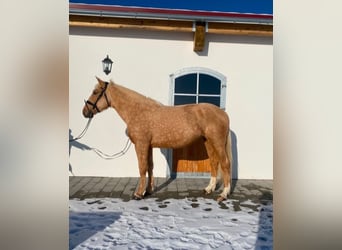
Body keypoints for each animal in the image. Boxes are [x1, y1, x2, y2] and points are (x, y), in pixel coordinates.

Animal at [83, 76, 232, 201]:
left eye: (95, 92)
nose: (85, 112)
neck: (138, 111)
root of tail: (223, 113)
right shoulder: (148, 146)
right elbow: (150, 166)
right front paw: (148, 190)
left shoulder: (141, 144)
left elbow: (142, 167)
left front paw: (138, 194)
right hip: (208, 141)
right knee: (214, 162)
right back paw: (209, 189)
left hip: (217, 142)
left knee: (225, 163)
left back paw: (224, 194)